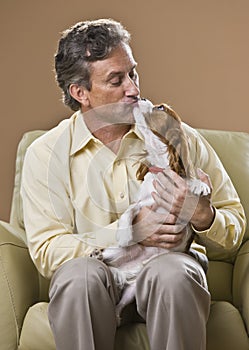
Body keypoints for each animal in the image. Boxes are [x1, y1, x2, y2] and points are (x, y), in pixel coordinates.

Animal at [89, 98, 210, 322]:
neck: (162, 166)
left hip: (133, 290)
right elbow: (129, 212)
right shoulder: (142, 203)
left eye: (160, 108)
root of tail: (134, 271)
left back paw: (116, 316)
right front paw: (125, 234)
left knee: (122, 303)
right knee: (109, 260)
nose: (141, 98)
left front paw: (198, 184)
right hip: (118, 254)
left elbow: (192, 180)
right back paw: (97, 256)